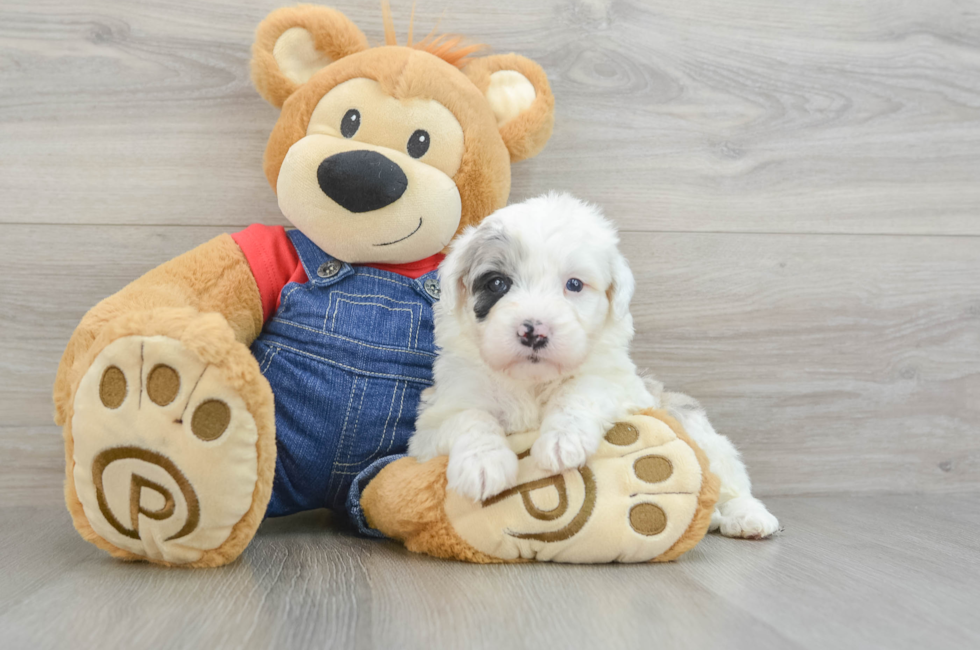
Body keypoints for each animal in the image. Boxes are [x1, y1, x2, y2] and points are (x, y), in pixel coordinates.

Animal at [408, 191, 780, 536]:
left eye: (574, 284)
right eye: (497, 283)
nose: (534, 332)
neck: (531, 382)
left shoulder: (621, 385)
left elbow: (580, 390)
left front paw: (562, 441)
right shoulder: (434, 419)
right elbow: (469, 417)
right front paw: (483, 463)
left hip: (699, 431)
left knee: (730, 478)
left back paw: (747, 516)